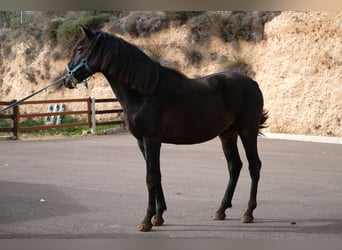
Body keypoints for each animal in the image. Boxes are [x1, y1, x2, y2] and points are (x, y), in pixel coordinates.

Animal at [63, 26, 268, 231]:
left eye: (80, 49)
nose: (66, 80)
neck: (145, 92)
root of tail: (253, 83)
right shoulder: (143, 142)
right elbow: (157, 176)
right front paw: (158, 216)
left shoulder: (151, 140)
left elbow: (150, 178)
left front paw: (146, 220)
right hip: (227, 134)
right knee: (234, 166)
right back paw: (221, 210)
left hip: (247, 132)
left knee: (254, 166)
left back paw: (248, 213)